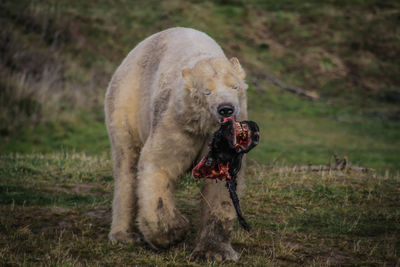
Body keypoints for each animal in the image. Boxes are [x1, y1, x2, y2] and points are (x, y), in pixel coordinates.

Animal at [105, 27, 250, 262]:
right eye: (206, 91)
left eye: (235, 86)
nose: (226, 108)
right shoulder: (176, 122)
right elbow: (158, 165)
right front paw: (176, 230)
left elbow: (220, 184)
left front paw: (215, 252)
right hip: (126, 101)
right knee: (127, 162)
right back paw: (124, 236)